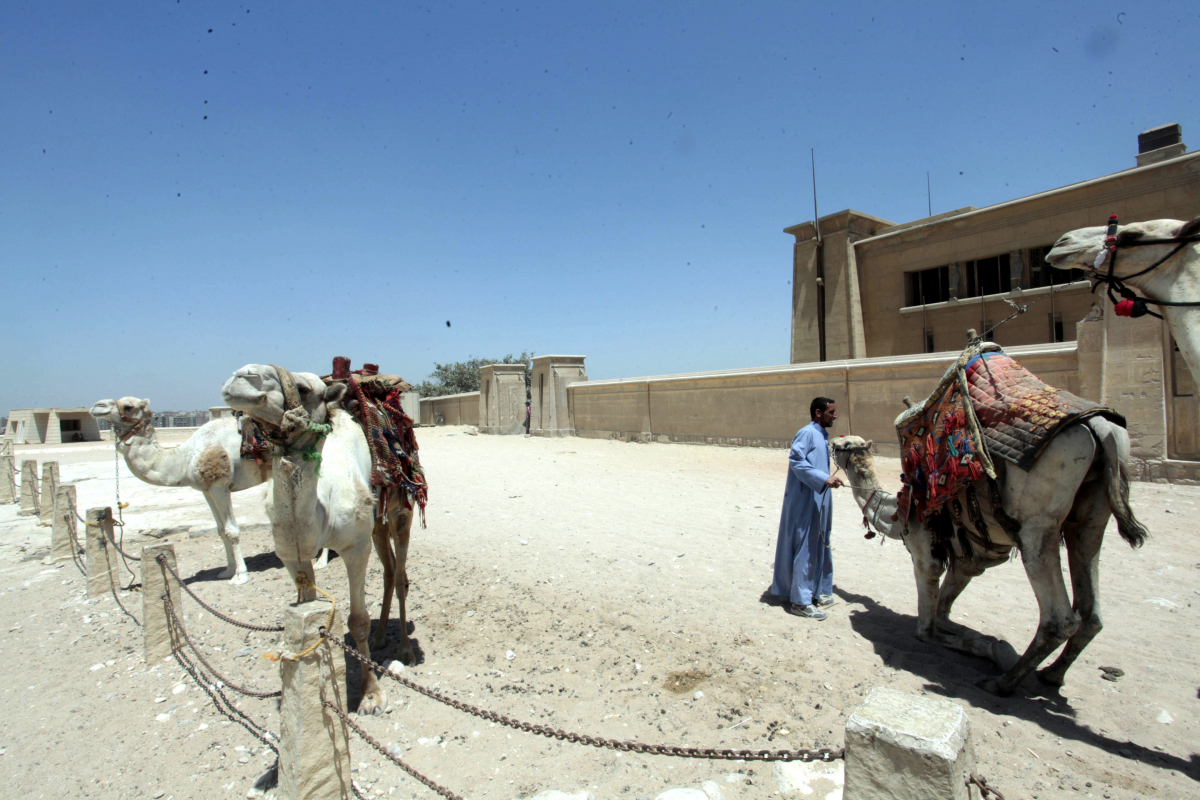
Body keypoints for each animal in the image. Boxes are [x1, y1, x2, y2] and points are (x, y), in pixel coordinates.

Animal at [92, 398, 273, 585]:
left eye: (129, 406)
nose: (98, 406)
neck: (186, 458)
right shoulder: (207, 490)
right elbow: (221, 530)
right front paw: (228, 570)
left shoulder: (220, 485)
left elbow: (232, 531)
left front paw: (241, 575)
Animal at [222, 367, 417, 714]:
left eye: (303, 389)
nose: (243, 375)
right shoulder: (292, 556)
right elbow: (305, 613)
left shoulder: (355, 547)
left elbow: (357, 621)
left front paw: (371, 695)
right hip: (377, 522)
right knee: (389, 571)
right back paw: (381, 638)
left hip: (400, 513)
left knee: (401, 576)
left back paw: (404, 650)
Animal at [830, 419, 1147, 695]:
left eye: (843, 444)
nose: (831, 440)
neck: (896, 513)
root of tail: (1103, 428)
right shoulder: (970, 560)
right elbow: (944, 612)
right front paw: (988, 640)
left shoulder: (925, 555)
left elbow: (927, 630)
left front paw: (994, 648)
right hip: (1092, 514)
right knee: (1090, 610)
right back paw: (1051, 675)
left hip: (1037, 522)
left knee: (1059, 618)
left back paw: (1001, 683)